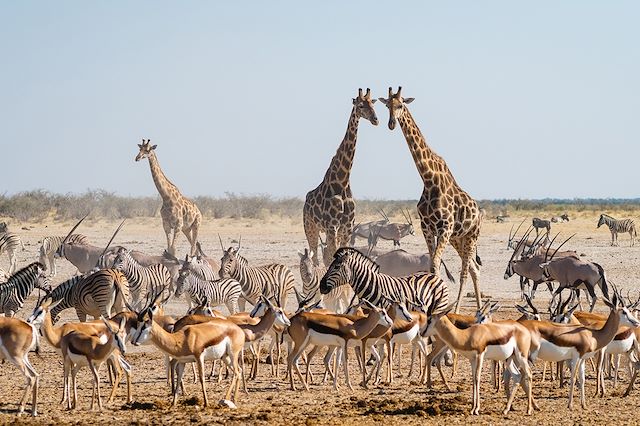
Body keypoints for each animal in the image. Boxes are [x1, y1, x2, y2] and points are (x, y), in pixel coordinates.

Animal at [302, 88, 378, 264]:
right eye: (361, 105)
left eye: (373, 104)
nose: (375, 119)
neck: (342, 181)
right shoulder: (332, 226)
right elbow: (331, 255)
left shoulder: (347, 227)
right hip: (310, 227)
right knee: (315, 256)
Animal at [380, 87, 480, 312]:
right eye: (387, 105)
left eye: (401, 105)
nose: (391, 124)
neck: (428, 179)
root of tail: (479, 213)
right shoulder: (427, 227)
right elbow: (432, 265)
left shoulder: (444, 227)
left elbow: (435, 264)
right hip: (458, 239)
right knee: (474, 269)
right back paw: (478, 309)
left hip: (470, 236)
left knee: (465, 271)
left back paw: (459, 309)